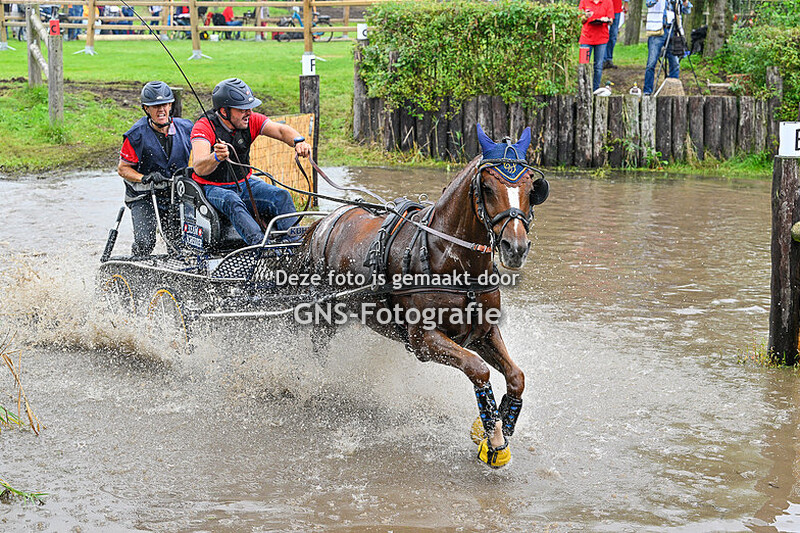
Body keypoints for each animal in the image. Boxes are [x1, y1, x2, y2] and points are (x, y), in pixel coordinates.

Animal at [299, 124, 549, 467]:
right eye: (486, 187)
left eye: (529, 186)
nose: (516, 248)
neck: (451, 258)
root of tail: (324, 221)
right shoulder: (423, 340)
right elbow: (478, 369)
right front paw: (493, 437)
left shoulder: (485, 332)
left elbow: (516, 376)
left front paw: (499, 425)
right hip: (324, 317)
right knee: (318, 351)